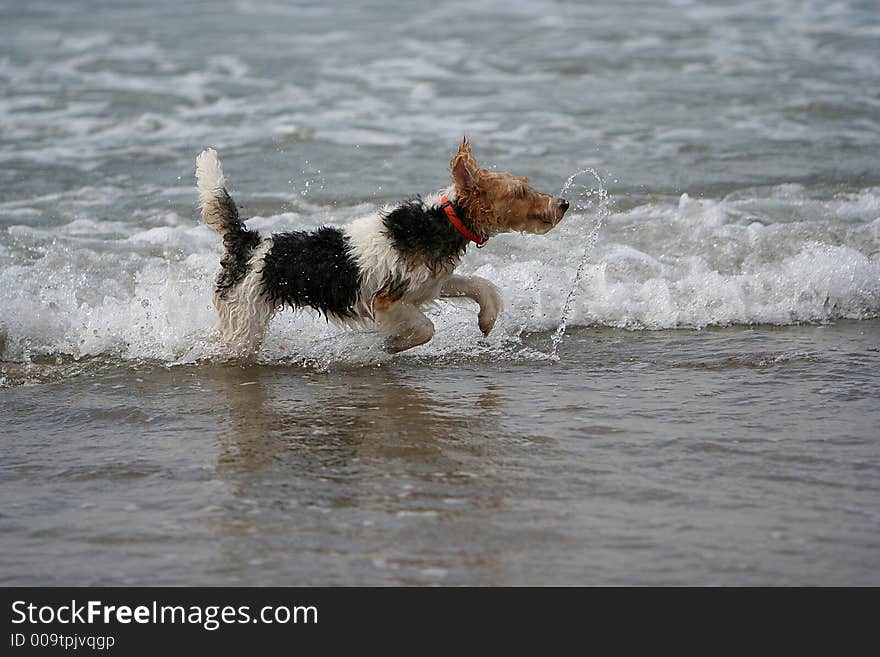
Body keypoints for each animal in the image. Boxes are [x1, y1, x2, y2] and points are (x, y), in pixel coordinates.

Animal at [194, 135, 572, 356]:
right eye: (519, 192)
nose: (563, 204)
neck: (441, 221)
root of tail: (246, 239)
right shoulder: (387, 300)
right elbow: (426, 327)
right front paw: (393, 344)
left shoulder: (432, 284)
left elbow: (482, 285)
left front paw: (487, 320)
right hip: (244, 321)